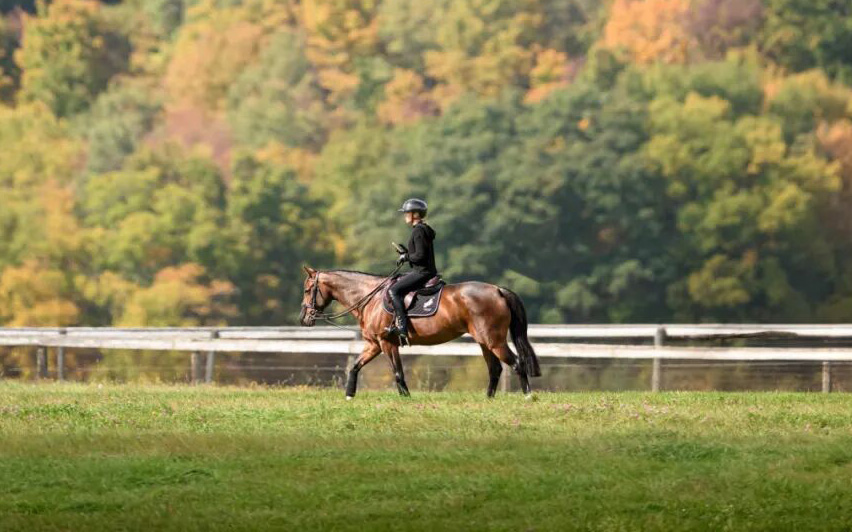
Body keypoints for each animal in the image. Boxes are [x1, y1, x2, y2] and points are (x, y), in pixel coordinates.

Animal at [298, 266, 541, 399]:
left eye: (308, 289)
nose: (303, 318)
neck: (370, 296)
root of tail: (498, 290)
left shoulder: (387, 343)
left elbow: (398, 373)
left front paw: (406, 398)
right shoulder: (375, 344)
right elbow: (355, 366)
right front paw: (349, 394)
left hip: (494, 341)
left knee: (517, 364)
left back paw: (528, 396)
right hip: (484, 342)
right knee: (495, 369)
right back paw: (488, 399)